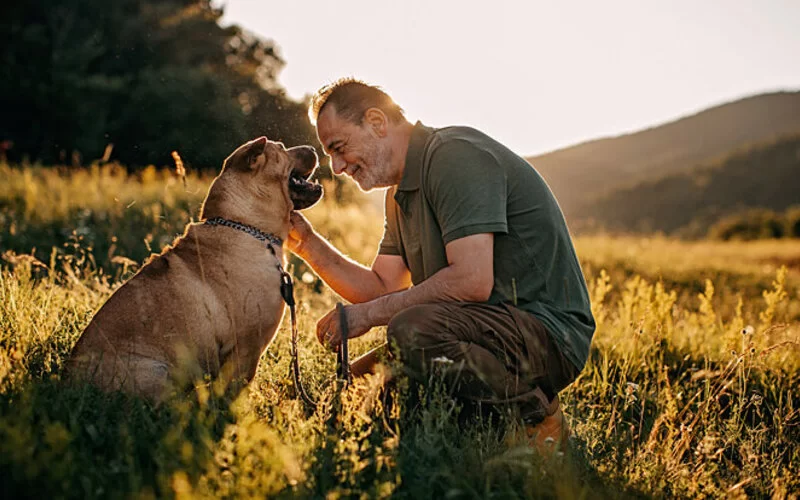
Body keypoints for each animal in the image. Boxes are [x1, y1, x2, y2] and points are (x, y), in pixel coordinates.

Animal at [66, 137, 322, 402]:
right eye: (281, 148)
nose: (313, 148)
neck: (246, 226)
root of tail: (69, 381)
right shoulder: (247, 347)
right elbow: (235, 389)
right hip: (157, 372)